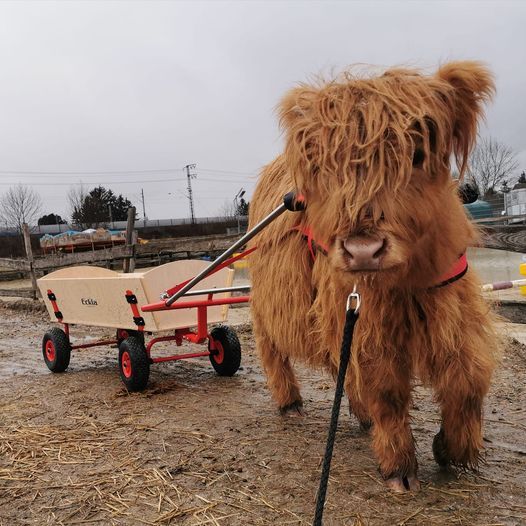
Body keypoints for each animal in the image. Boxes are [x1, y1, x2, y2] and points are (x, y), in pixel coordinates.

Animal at [250, 63, 502, 496]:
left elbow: (467, 378)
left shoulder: (452, 307)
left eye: (417, 154)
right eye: (327, 166)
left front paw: (452, 449)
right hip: (267, 307)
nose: (363, 250)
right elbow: (384, 386)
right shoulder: (368, 321)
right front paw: (399, 467)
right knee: (273, 351)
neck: (408, 279)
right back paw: (290, 403)